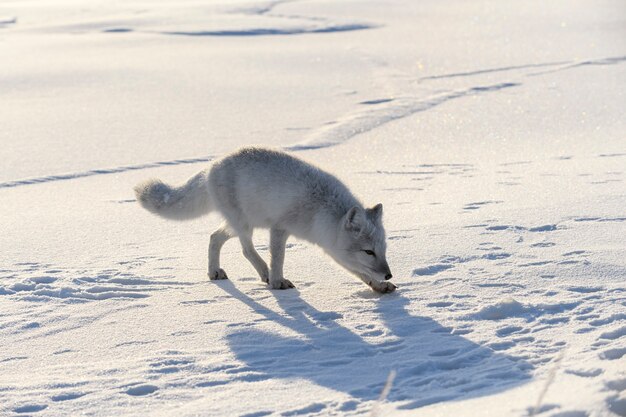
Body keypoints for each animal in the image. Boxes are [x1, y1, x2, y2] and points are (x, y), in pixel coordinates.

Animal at [134, 146, 394, 292]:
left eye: (383, 250)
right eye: (368, 251)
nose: (389, 274)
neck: (323, 209)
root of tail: (211, 166)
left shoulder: (331, 246)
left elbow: (357, 271)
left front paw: (379, 286)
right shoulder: (279, 228)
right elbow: (278, 258)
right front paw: (278, 282)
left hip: (239, 223)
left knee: (214, 237)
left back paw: (214, 272)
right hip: (244, 224)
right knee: (246, 250)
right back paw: (265, 274)